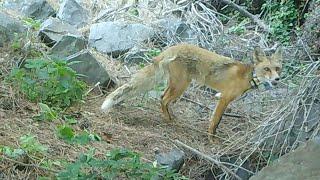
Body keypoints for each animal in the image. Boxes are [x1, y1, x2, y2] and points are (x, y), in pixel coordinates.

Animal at [100, 43, 282, 139]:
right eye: (266, 69)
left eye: (277, 69)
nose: (277, 79)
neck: (249, 76)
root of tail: (172, 47)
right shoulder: (225, 98)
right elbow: (215, 121)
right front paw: (212, 139)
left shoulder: (219, 96)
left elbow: (215, 119)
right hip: (181, 85)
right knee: (163, 99)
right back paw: (169, 121)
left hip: (176, 84)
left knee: (162, 97)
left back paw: (172, 117)